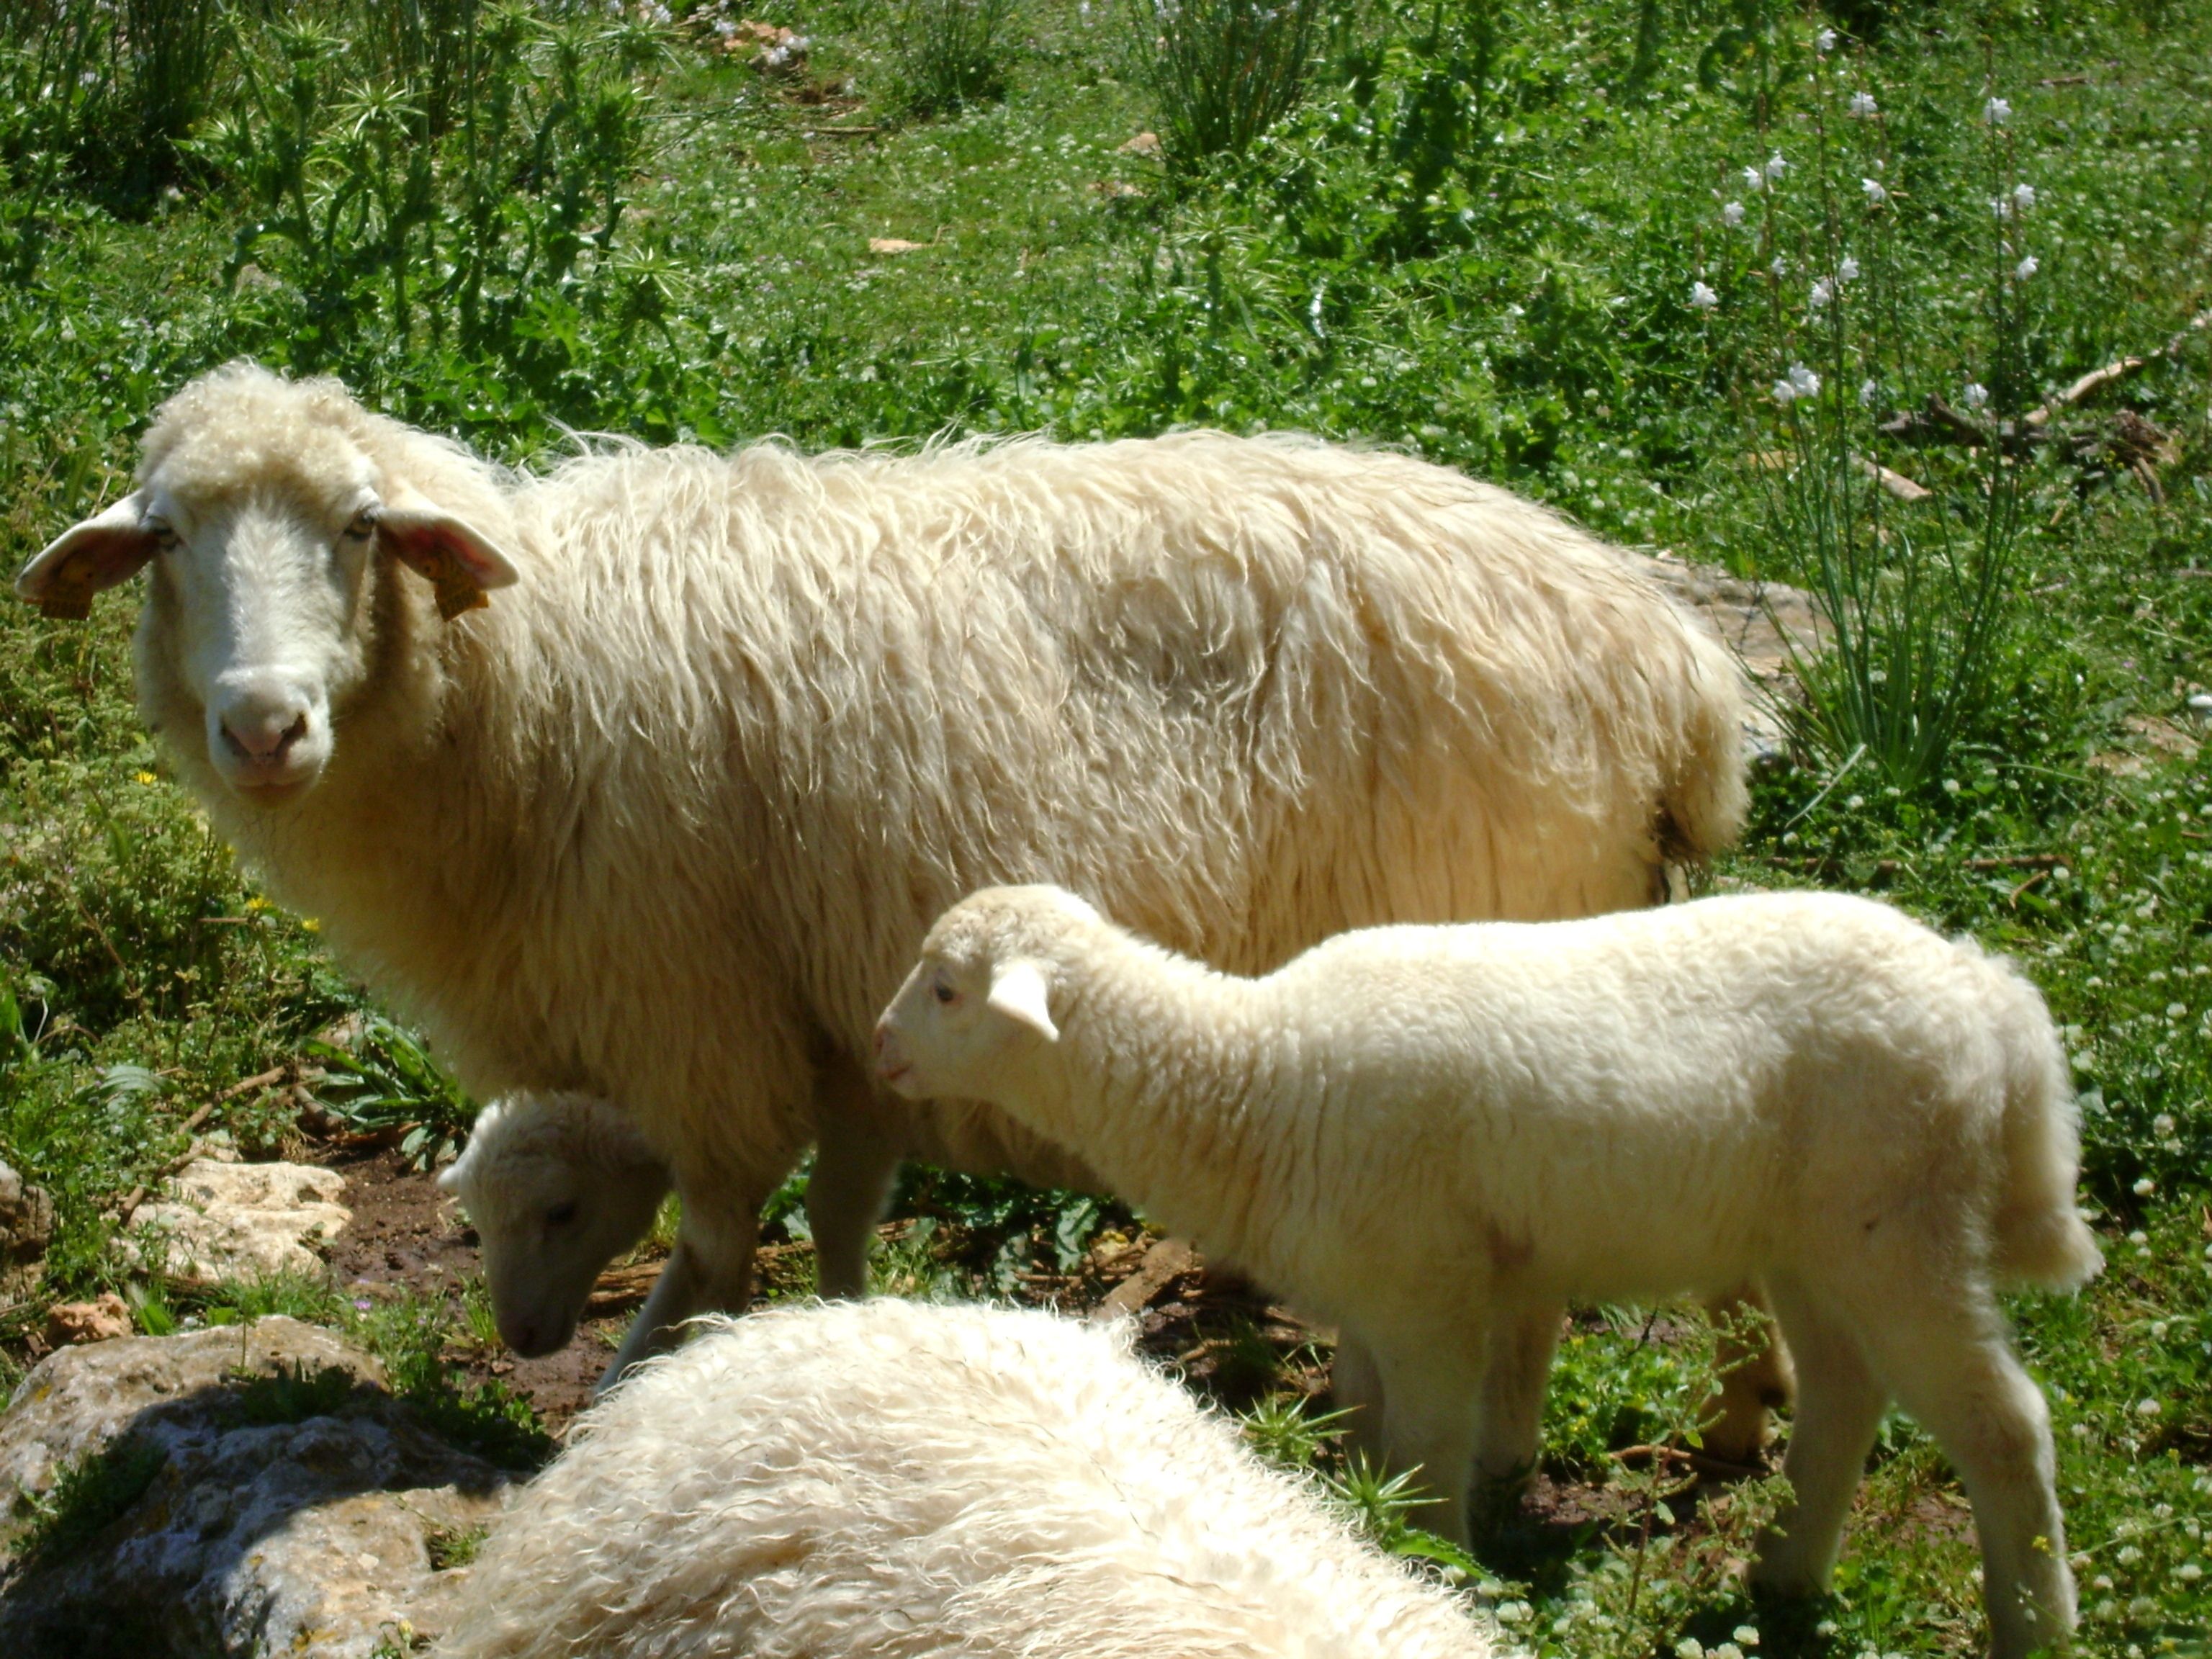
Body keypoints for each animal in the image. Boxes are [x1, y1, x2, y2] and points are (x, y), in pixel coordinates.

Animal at [18, 361, 1753, 1399]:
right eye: (163, 539)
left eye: (363, 526)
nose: (263, 725)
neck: (510, 684)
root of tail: (1677, 671)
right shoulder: (828, 1023)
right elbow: (841, 1211)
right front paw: (843, 1334)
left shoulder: (692, 1014)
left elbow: (719, 1238)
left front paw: (640, 1382)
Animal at [874, 883, 2104, 1658]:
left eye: (946, 989)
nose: (877, 1050)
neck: (1260, 1080)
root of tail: (1992, 998)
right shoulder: (1371, 1299)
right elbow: (1366, 1440)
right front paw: (1358, 1541)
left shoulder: (1430, 1294)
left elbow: (1426, 1457)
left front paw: (1441, 1569)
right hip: (1818, 1240)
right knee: (1846, 1396)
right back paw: (1786, 1573)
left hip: (1901, 1224)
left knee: (2004, 1423)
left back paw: (2038, 1622)